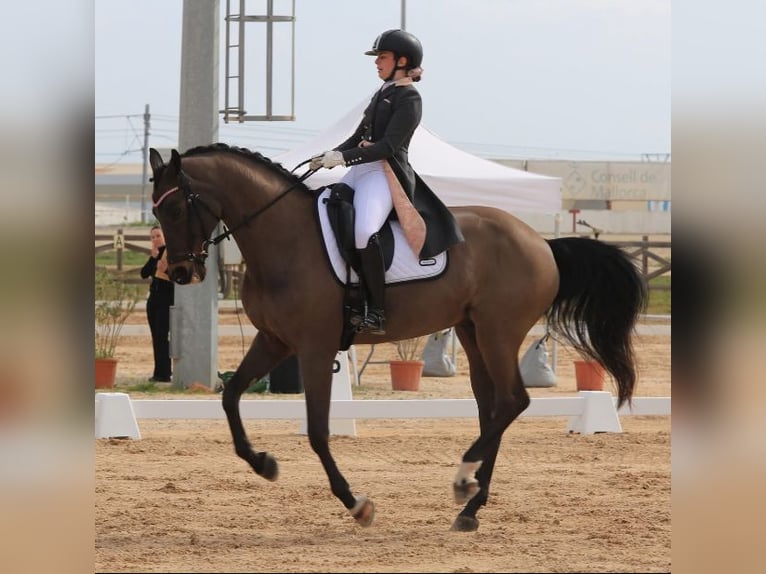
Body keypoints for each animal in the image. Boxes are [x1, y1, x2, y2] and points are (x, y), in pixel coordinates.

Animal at [148, 143, 647, 532]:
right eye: (154, 209)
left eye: (174, 208)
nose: (180, 272)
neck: (283, 237)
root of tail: (542, 243)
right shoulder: (274, 341)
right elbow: (230, 396)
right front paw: (263, 462)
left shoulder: (313, 347)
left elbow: (318, 432)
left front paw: (357, 505)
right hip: (472, 332)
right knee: (492, 407)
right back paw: (471, 503)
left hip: (498, 331)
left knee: (512, 401)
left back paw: (463, 482)